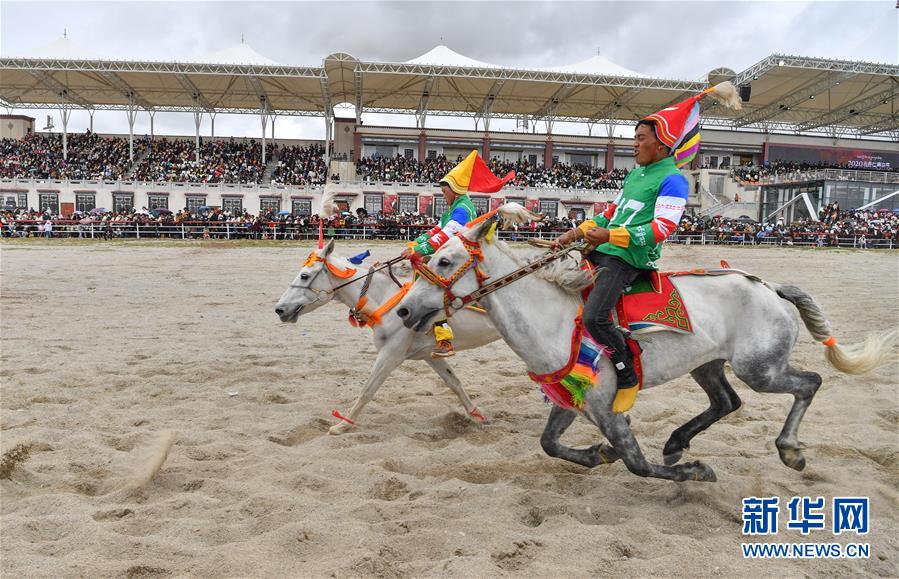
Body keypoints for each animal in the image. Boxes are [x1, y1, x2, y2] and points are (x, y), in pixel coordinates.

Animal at [274, 239, 501, 434]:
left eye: (304, 275)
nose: (279, 309)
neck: (387, 301)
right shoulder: (430, 355)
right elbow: (453, 382)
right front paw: (476, 415)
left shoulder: (390, 355)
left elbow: (368, 389)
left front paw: (343, 425)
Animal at [396, 206, 897, 482]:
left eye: (445, 260)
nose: (404, 311)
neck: (551, 319)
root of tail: (769, 287)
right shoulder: (570, 396)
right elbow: (549, 444)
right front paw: (596, 454)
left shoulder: (607, 408)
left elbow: (635, 462)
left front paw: (693, 473)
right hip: (708, 364)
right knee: (727, 402)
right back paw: (677, 442)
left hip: (761, 369)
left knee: (808, 383)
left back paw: (789, 449)